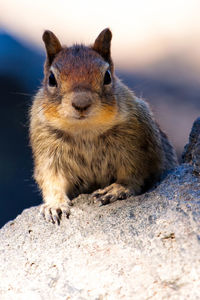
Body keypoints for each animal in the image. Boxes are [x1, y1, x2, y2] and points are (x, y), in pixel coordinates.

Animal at [29, 29, 177, 224]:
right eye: (51, 79)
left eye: (107, 76)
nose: (81, 103)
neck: (85, 130)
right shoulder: (47, 152)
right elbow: (51, 180)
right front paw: (54, 205)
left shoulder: (138, 149)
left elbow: (134, 175)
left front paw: (117, 189)